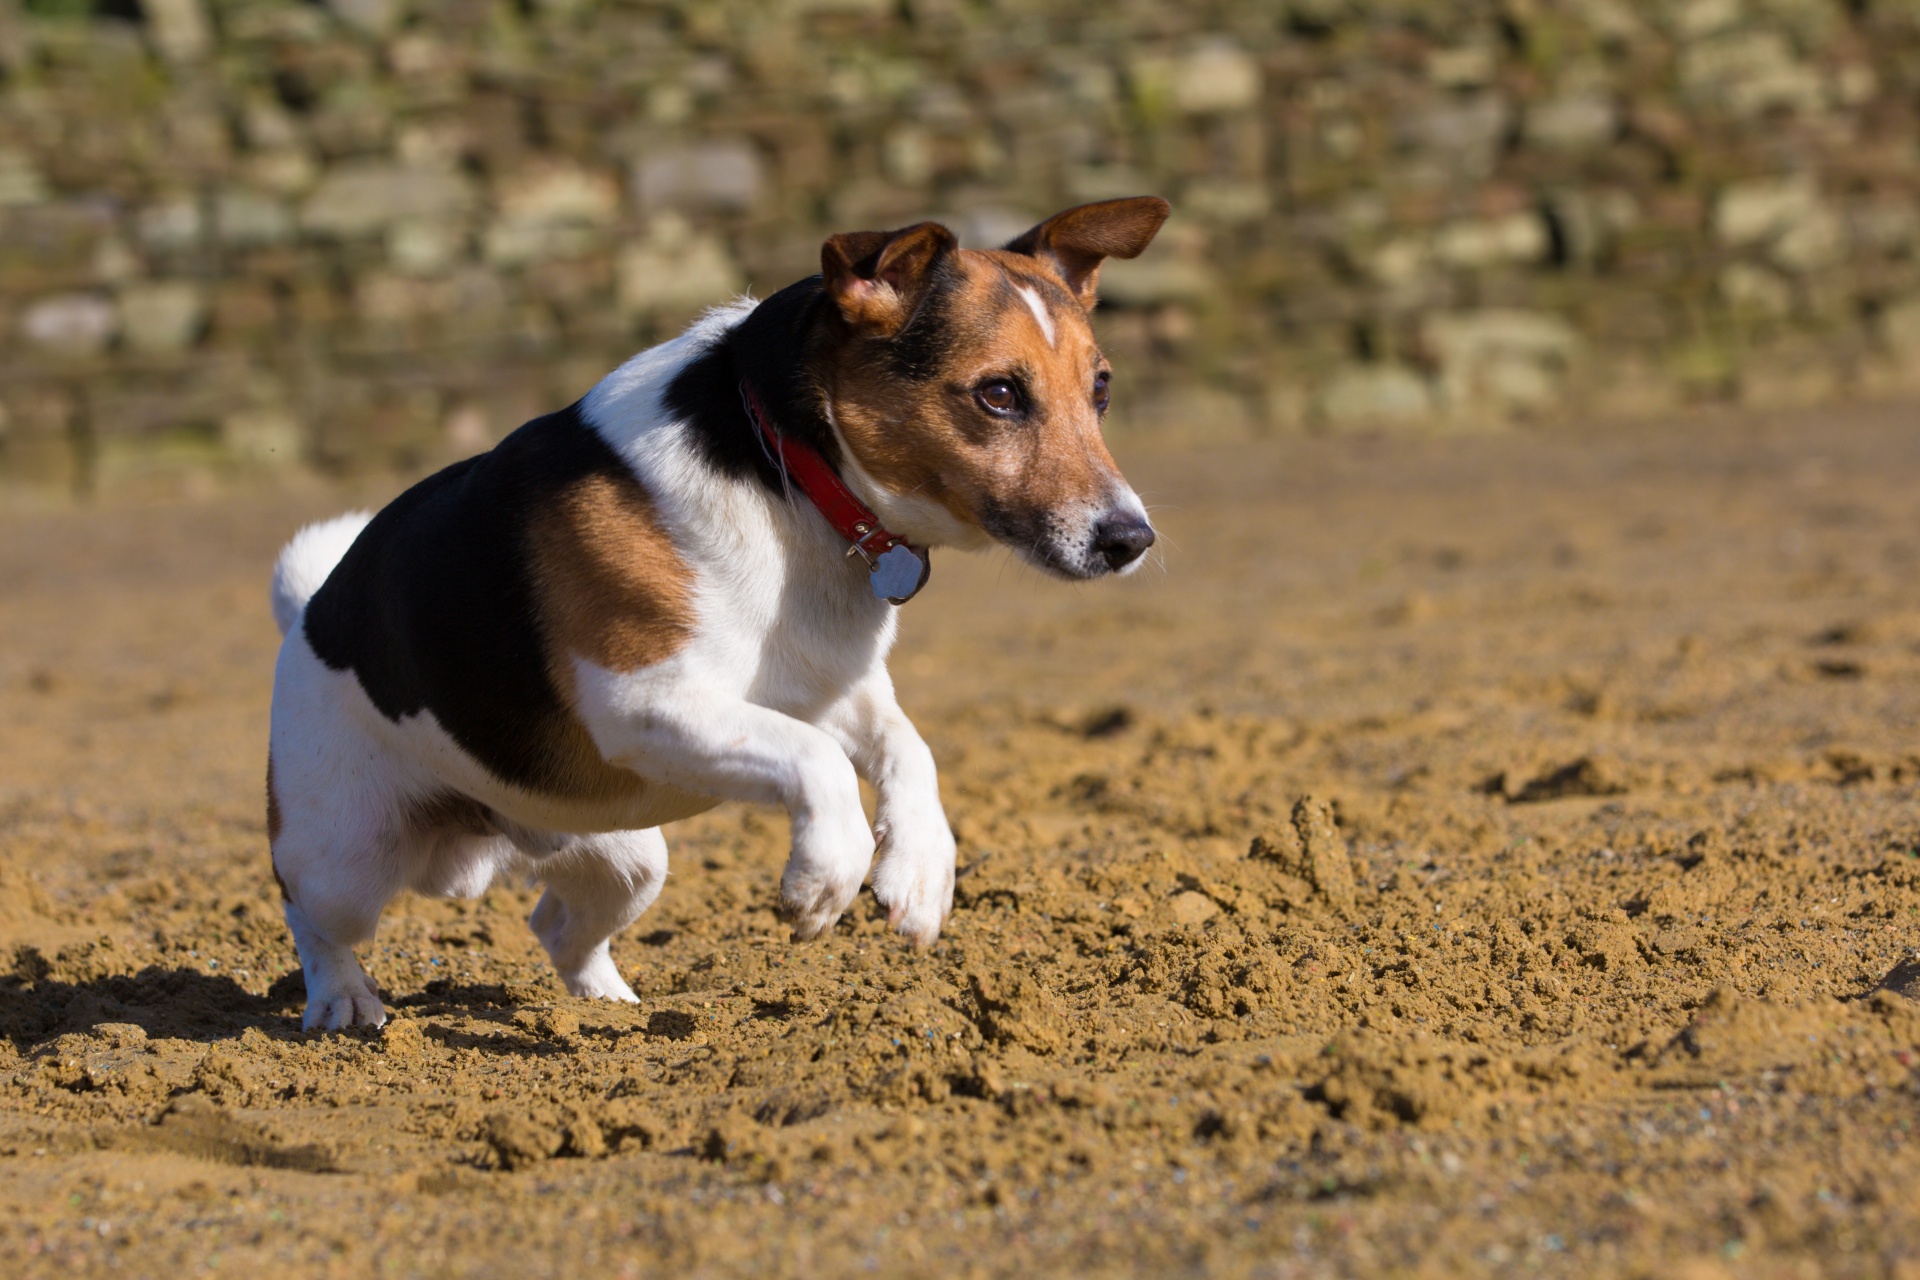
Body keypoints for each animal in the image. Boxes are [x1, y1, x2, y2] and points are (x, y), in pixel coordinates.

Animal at [266, 195, 1167, 1028]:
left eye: (1102, 389)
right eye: (1000, 394)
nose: (1131, 539)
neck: (790, 473)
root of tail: (311, 610)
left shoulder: (830, 686)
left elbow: (907, 749)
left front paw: (919, 873)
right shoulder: (644, 703)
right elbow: (818, 762)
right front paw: (825, 878)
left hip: (625, 857)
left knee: (557, 925)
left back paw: (608, 1010)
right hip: (345, 854)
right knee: (312, 917)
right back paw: (344, 1002)